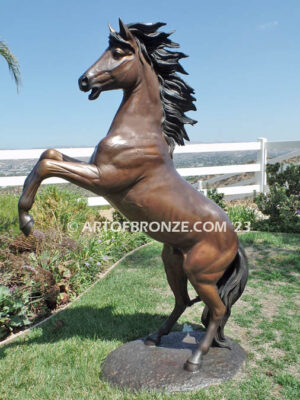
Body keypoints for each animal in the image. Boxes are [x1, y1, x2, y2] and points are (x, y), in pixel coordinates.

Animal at [19, 19, 248, 372]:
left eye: (117, 52)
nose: (83, 81)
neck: (137, 134)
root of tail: (235, 244)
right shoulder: (94, 168)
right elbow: (50, 154)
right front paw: (27, 219)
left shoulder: (103, 179)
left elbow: (47, 165)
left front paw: (27, 221)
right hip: (173, 262)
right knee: (183, 301)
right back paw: (155, 337)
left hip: (201, 273)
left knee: (218, 310)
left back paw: (195, 359)